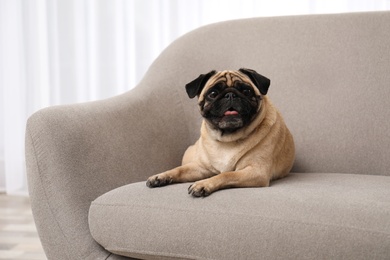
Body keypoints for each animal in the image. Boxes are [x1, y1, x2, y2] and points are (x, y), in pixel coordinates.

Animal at [146, 68, 296, 196]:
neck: (228, 138)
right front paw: (161, 176)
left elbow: (226, 174)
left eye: (246, 91)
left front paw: (203, 184)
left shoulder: (257, 171)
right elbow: (179, 170)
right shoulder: (201, 168)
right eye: (213, 94)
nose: (230, 95)